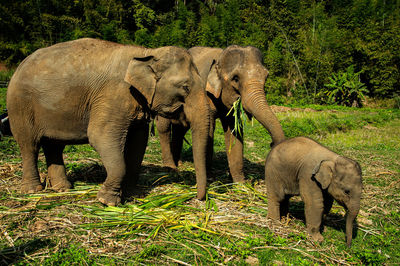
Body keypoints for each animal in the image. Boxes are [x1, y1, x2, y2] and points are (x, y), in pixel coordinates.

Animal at [6, 37, 209, 205]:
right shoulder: (113, 95)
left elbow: (138, 143)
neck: (146, 53)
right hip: (20, 106)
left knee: (54, 146)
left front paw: (131, 193)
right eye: (185, 87)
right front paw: (107, 201)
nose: (199, 198)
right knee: (29, 145)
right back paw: (32, 190)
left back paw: (62, 188)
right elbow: (100, 136)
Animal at [156, 46, 284, 183]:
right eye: (236, 78)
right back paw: (170, 168)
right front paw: (210, 178)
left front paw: (240, 182)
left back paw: (178, 163)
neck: (219, 58)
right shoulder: (205, 93)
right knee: (164, 128)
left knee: (179, 130)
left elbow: (234, 131)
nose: (272, 143)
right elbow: (209, 129)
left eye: (266, 76)